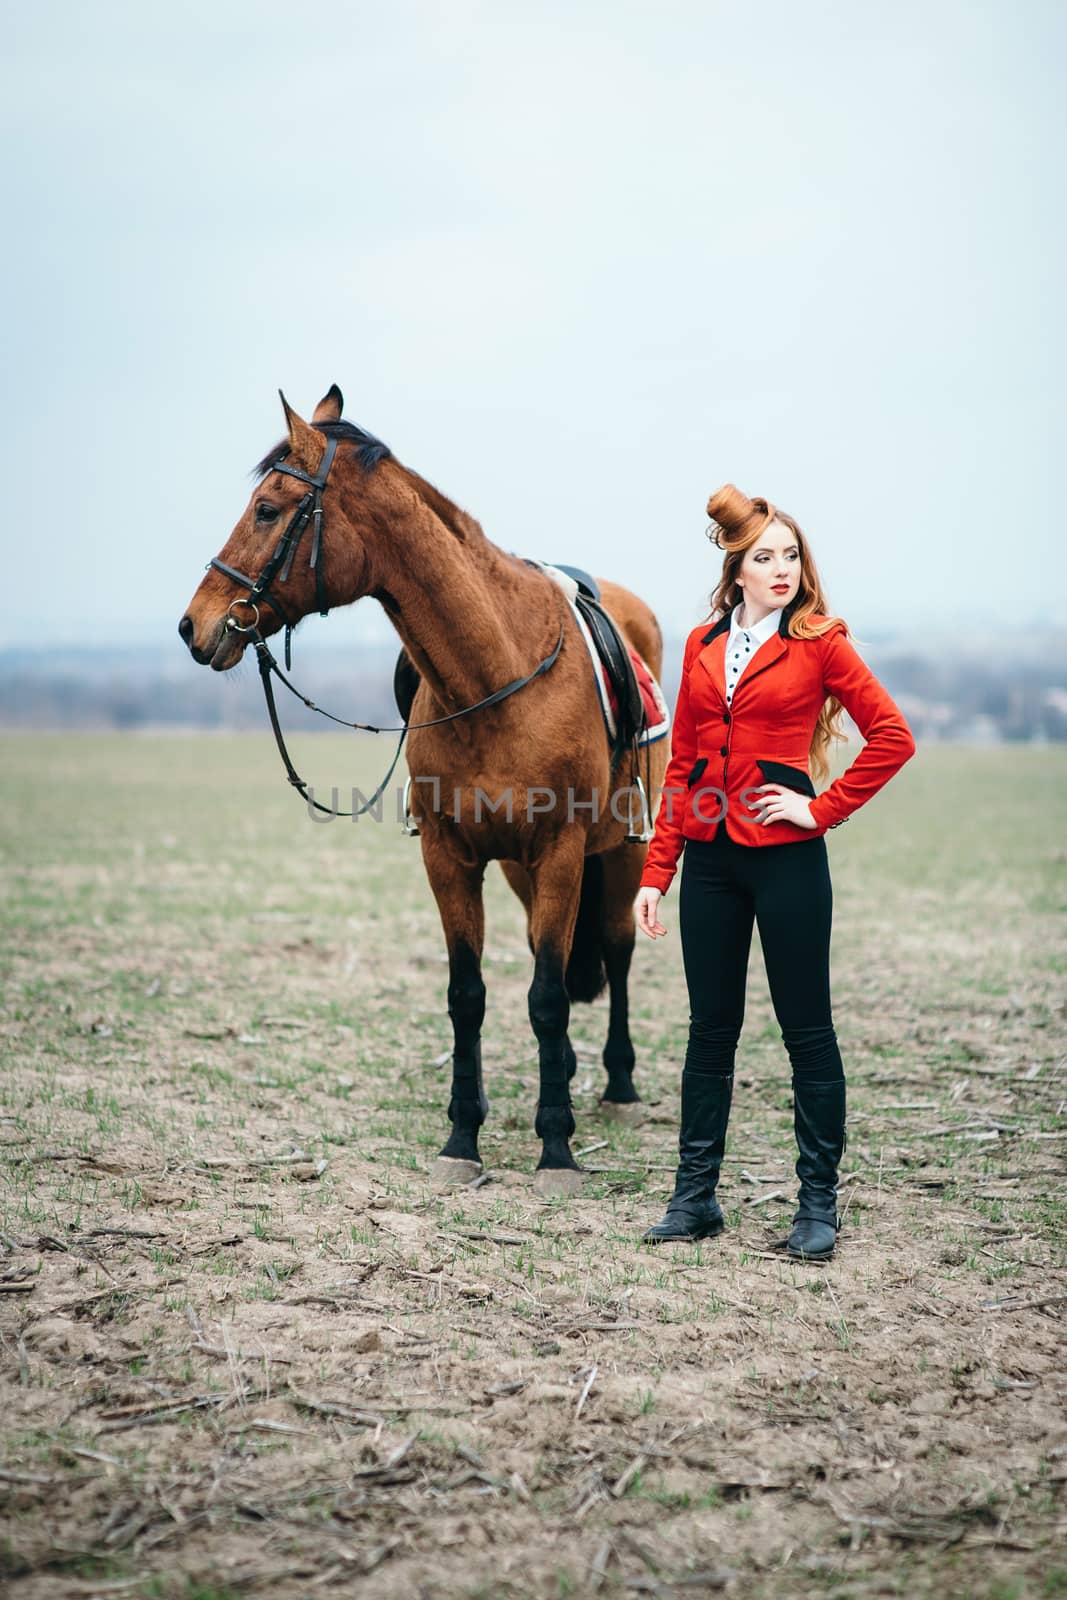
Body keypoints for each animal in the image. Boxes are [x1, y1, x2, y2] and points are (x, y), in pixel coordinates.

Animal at [180, 384, 671, 1190]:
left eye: (269, 509)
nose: (194, 625)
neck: (498, 677)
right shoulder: (451, 857)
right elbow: (468, 996)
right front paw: (462, 1139)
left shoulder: (563, 853)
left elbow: (546, 995)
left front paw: (556, 1148)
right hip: (520, 871)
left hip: (620, 848)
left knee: (618, 947)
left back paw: (619, 1085)